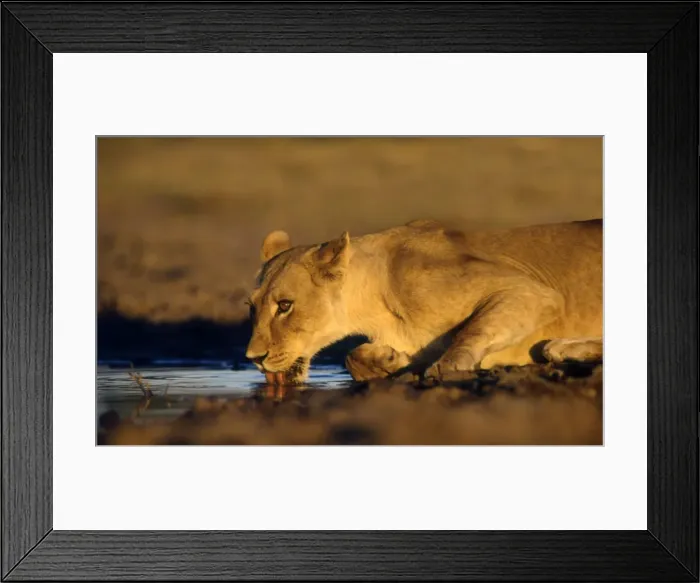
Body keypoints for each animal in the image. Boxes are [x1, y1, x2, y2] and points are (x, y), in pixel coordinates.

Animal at [245, 219, 602, 384]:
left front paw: (447, 365)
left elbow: (471, 330)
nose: (253, 358)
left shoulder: (534, 292)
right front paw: (390, 360)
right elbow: (351, 358)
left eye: (285, 306)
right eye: (252, 307)